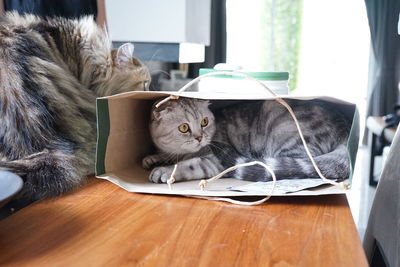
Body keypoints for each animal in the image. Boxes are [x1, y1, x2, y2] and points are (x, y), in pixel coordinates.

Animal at [142, 98, 352, 184]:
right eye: (184, 127)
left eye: (204, 122)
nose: (200, 137)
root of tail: (344, 126)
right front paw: (152, 158)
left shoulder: (214, 161)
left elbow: (189, 165)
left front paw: (164, 171)